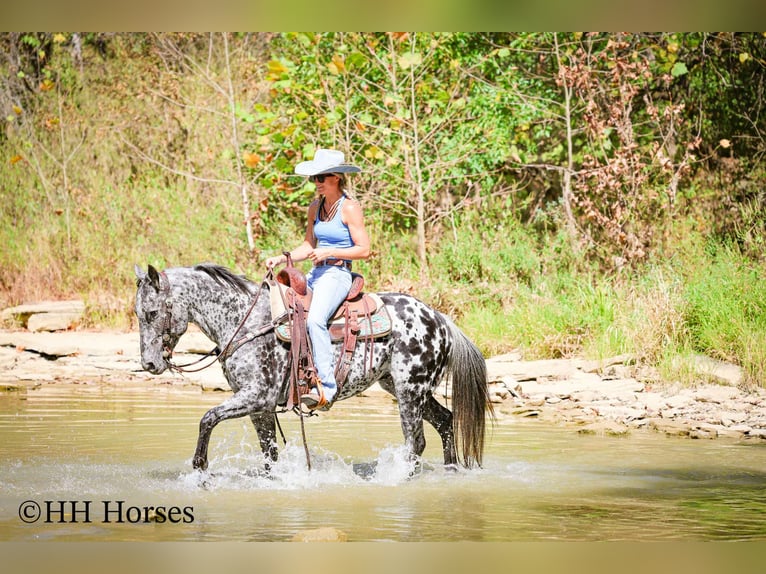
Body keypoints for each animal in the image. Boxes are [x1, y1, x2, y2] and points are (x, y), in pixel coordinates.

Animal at [133, 263, 493, 473]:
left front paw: (200, 467)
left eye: (152, 312)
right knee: (445, 422)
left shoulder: (255, 397)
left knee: (415, 442)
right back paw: (450, 471)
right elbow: (269, 454)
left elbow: (207, 418)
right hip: (404, 387)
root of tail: (441, 320)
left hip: (409, 392)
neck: (245, 321)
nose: (149, 363)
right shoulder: (259, 407)